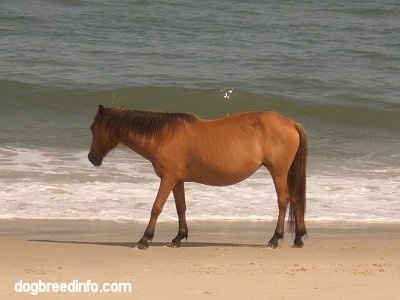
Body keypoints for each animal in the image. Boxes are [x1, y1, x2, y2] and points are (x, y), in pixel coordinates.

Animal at [88, 104, 306, 250]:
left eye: (93, 128)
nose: (92, 158)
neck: (163, 136)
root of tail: (291, 123)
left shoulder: (167, 179)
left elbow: (156, 207)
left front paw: (145, 239)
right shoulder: (177, 181)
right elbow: (180, 208)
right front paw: (178, 238)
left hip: (278, 172)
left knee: (283, 200)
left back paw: (275, 239)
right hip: (286, 173)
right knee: (296, 200)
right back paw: (298, 238)